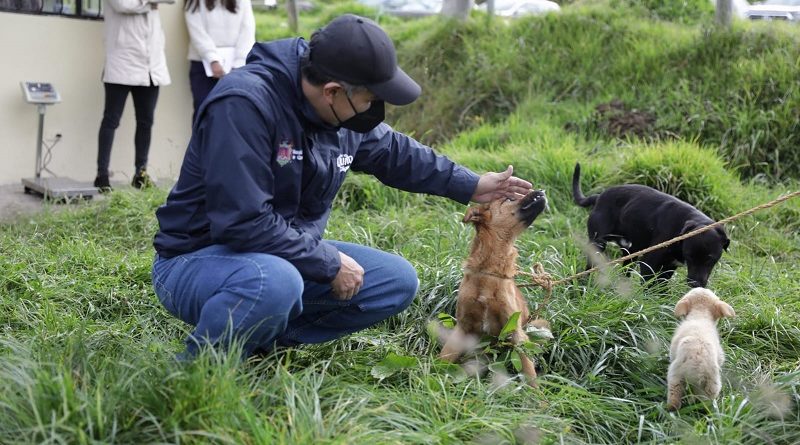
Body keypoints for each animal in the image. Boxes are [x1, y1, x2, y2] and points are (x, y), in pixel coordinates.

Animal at [438, 189, 552, 384]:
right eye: (509, 198)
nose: (542, 191)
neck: (489, 272)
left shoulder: (515, 331)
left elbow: (528, 369)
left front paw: (535, 392)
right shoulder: (462, 327)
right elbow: (445, 357)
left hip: (538, 326)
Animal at [572, 161, 728, 286]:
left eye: (710, 259)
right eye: (689, 256)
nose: (695, 284)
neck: (681, 227)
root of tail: (599, 197)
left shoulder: (669, 267)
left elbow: (661, 287)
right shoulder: (650, 262)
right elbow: (648, 285)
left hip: (631, 251)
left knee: (625, 271)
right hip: (598, 245)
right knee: (589, 267)